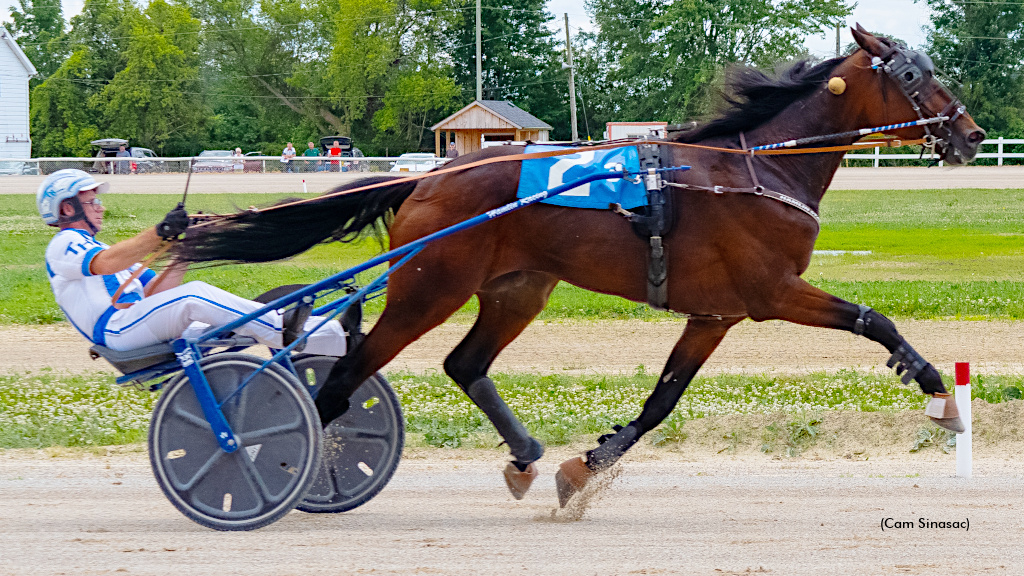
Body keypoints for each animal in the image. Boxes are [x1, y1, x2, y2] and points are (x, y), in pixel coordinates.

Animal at [176, 25, 983, 502]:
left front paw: (585, 465)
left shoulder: (714, 312)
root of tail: (429, 179)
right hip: (426, 289)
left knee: (464, 365)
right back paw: (278, 466)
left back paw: (526, 454)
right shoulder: (772, 291)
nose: (972, 134)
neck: (758, 169)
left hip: (517, 289)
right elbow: (874, 319)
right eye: (916, 75)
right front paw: (937, 389)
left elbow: (662, 399)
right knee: (345, 376)